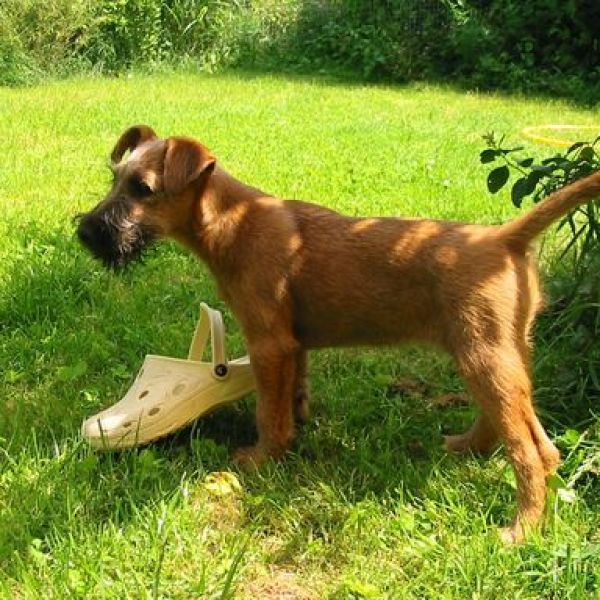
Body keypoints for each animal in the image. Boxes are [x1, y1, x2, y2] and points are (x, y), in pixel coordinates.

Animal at [76, 125, 600, 542]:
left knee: (528, 451)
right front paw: (294, 436)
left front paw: (262, 459)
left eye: (143, 188)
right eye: (114, 178)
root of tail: (503, 237)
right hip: (504, 352)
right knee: (539, 440)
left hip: (483, 357)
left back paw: (521, 528)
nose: (85, 233)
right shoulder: (294, 345)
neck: (232, 221)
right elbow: (293, 397)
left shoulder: (269, 343)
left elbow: (268, 411)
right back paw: (469, 449)